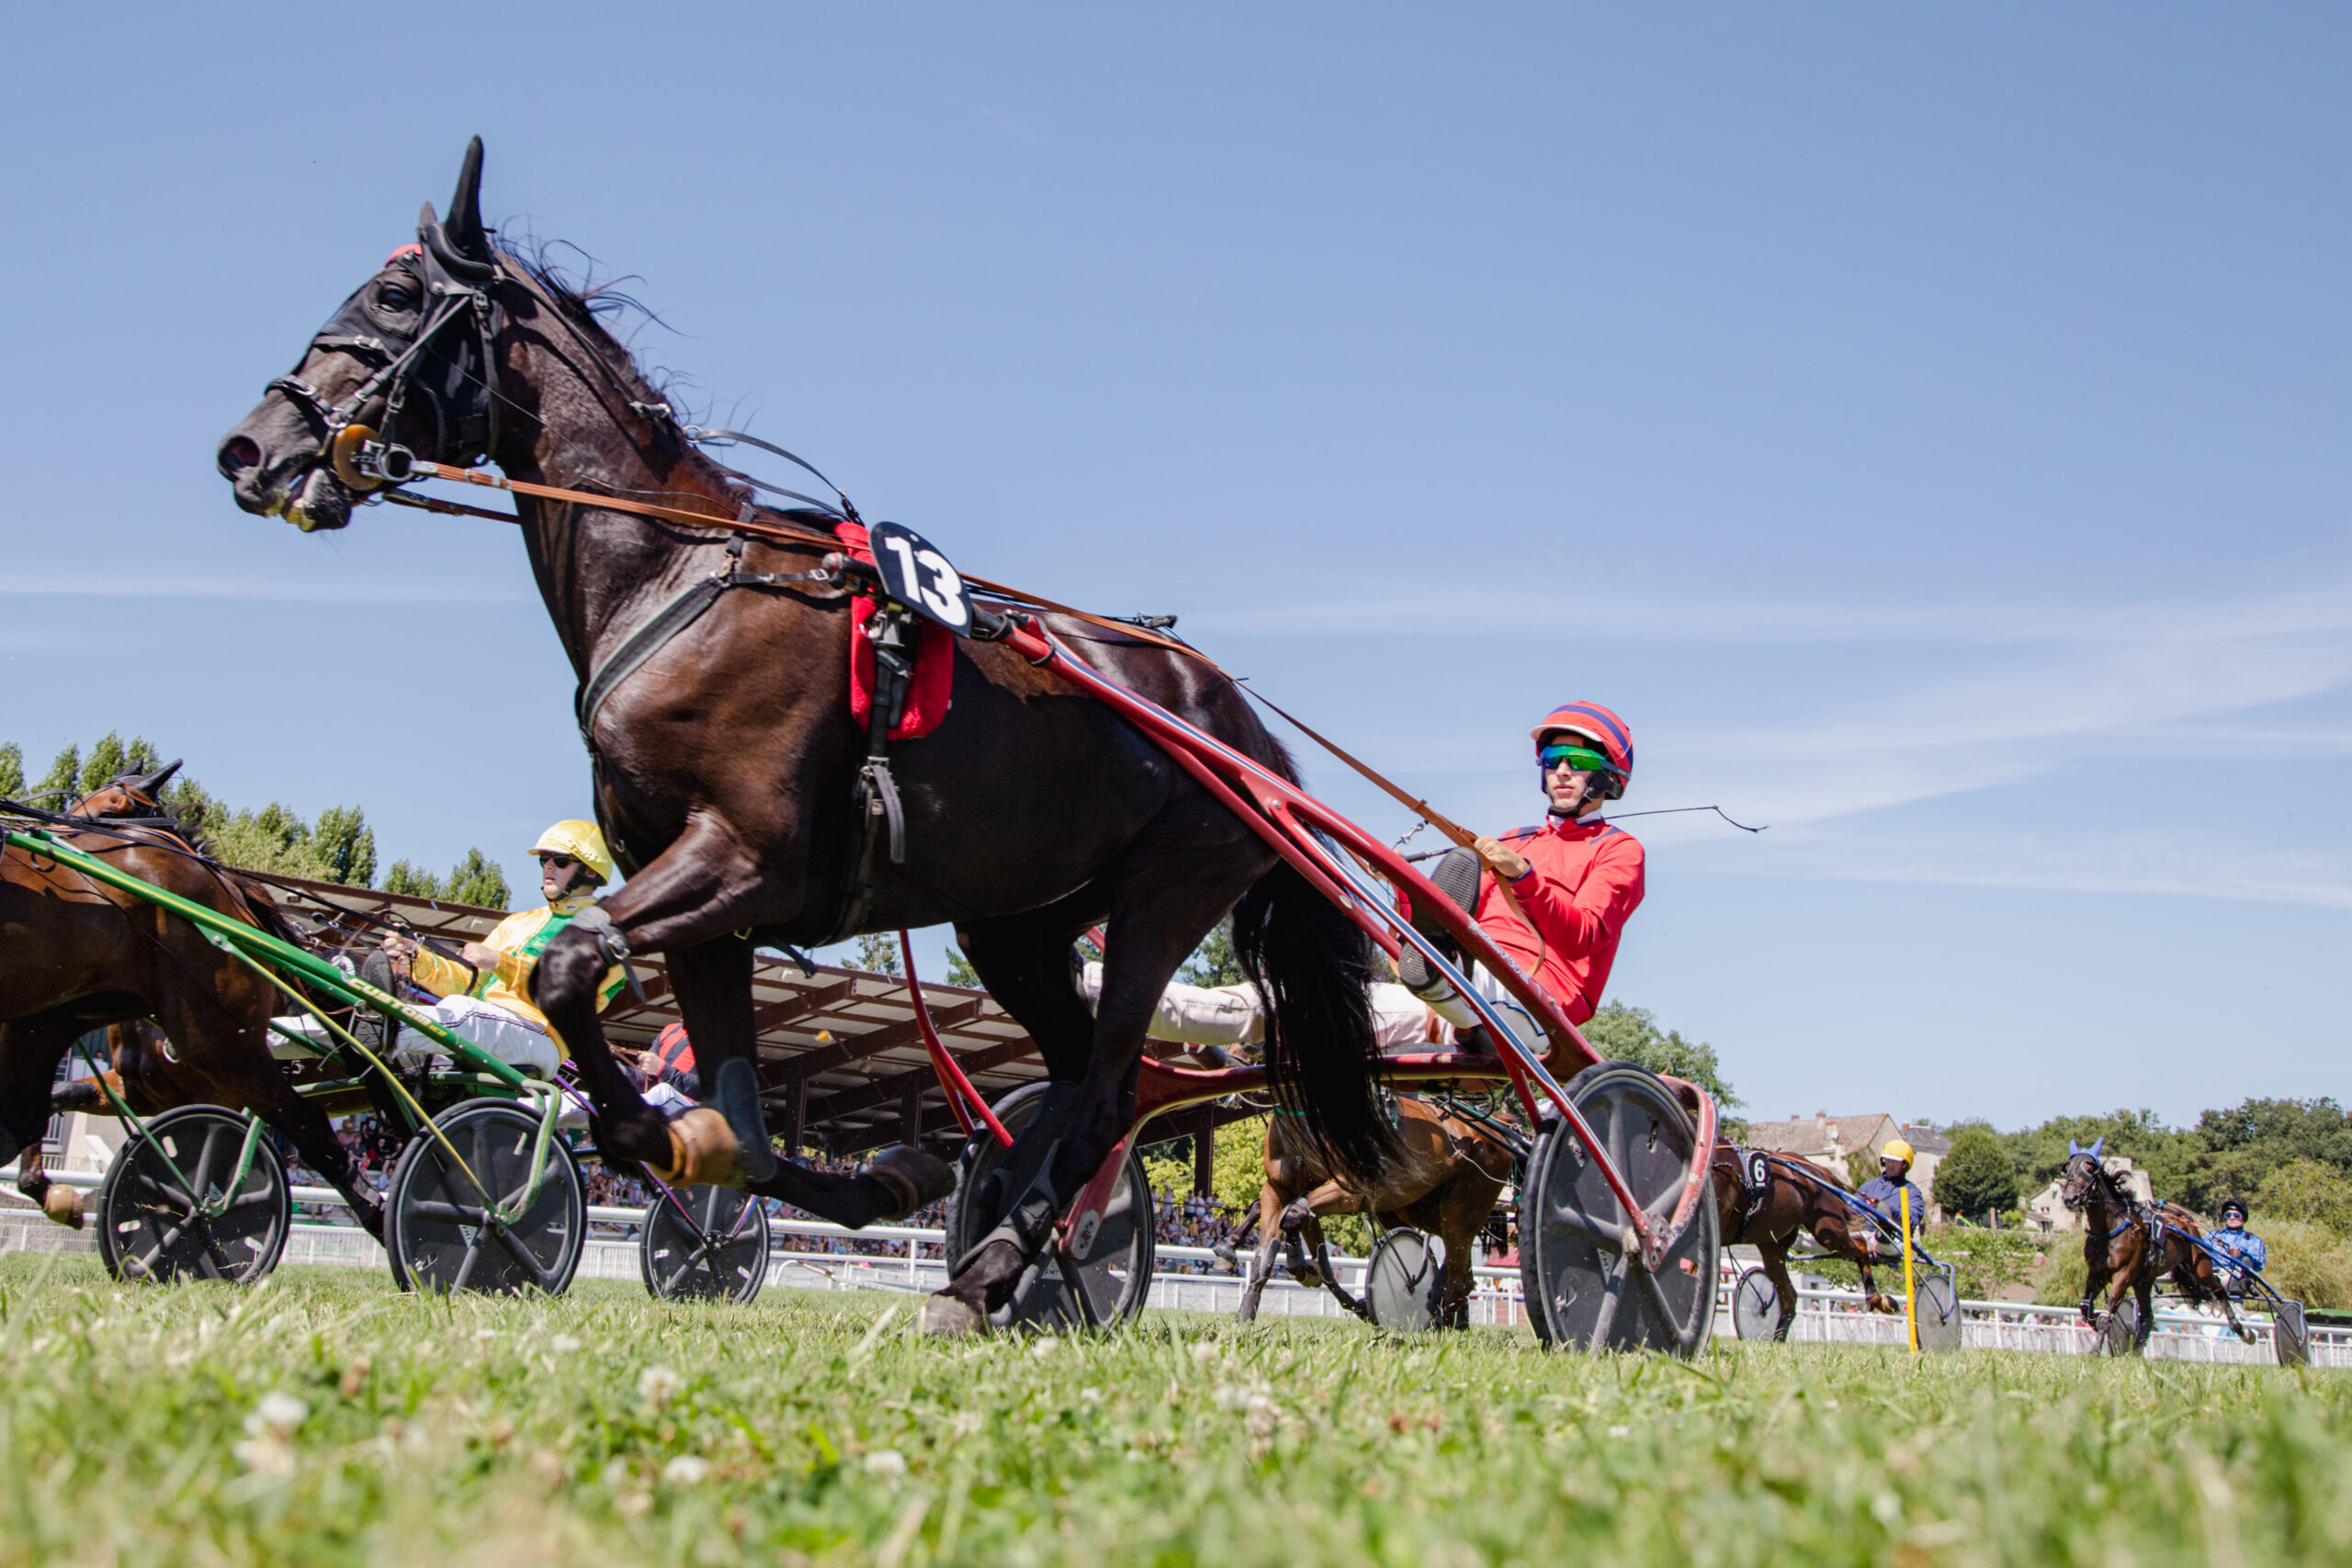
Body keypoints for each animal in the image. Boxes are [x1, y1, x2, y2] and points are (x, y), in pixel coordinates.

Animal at [0, 771, 385, 1241]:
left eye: (111, 809)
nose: (50, 841)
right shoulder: (142, 1090)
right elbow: (59, 1096)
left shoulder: (214, 1094)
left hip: (224, 1047)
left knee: (307, 1119)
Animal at [216, 138, 1392, 1335]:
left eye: (397, 297)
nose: (250, 449)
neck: (680, 579)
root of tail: (1245, 731)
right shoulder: (702, 903)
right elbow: (730, 1119)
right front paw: (866, 1175)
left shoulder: (744, 861)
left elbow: (571, 966)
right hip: (1016, 923)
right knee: (1072, 1083)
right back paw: (1010, 1245)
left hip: (1165, 890)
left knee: (1111, 1091)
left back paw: (989, 1274)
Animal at [1241, 1100, 1514, 1335]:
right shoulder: (1279, 1191)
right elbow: (1270, 1256)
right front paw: (1244, 1319)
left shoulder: (1347, 1190)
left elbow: (1296, 1216)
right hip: (1419, 1206)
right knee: (1459, 1261)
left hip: (1467, 1199)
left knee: (1458, 1265)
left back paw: (1443, 1326)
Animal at [1712, 1146, 1909, 1344]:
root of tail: (1817, 1169)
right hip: (1772, 1243)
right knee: (1789, 1294)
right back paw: (1778, 1338)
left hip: (1829, 1231)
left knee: (1860, 1247)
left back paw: (1877, 1299)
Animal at [2051, 1133, 2248, 1354]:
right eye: (2067, 1167)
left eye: (2090, 1168)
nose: (2071, 1198)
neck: (2109, 1230)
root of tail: (2186, 1219)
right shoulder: (2096, 1273)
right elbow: (2087, 1310)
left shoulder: (2124, 1275)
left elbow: (2106, 1315)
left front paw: (2095, 1349)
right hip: (2144, 1281)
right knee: (2147, 1316)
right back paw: (2136, 1349)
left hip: (2200, 1266)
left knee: (2219, 1289)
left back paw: (2242, 1330)